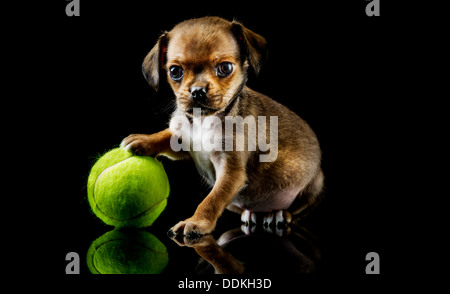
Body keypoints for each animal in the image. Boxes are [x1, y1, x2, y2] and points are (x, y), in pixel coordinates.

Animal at [120, 16, 324, 237]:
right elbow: (167, 135)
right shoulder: (182, 142)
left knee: (297, 209)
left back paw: (278, 214)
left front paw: (197, 221)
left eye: (225, 68)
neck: (203, 121)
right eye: (175, 72)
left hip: (314, 184)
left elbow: (213, 198)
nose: (198, 91)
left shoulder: (231, 172)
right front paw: (144, 140)